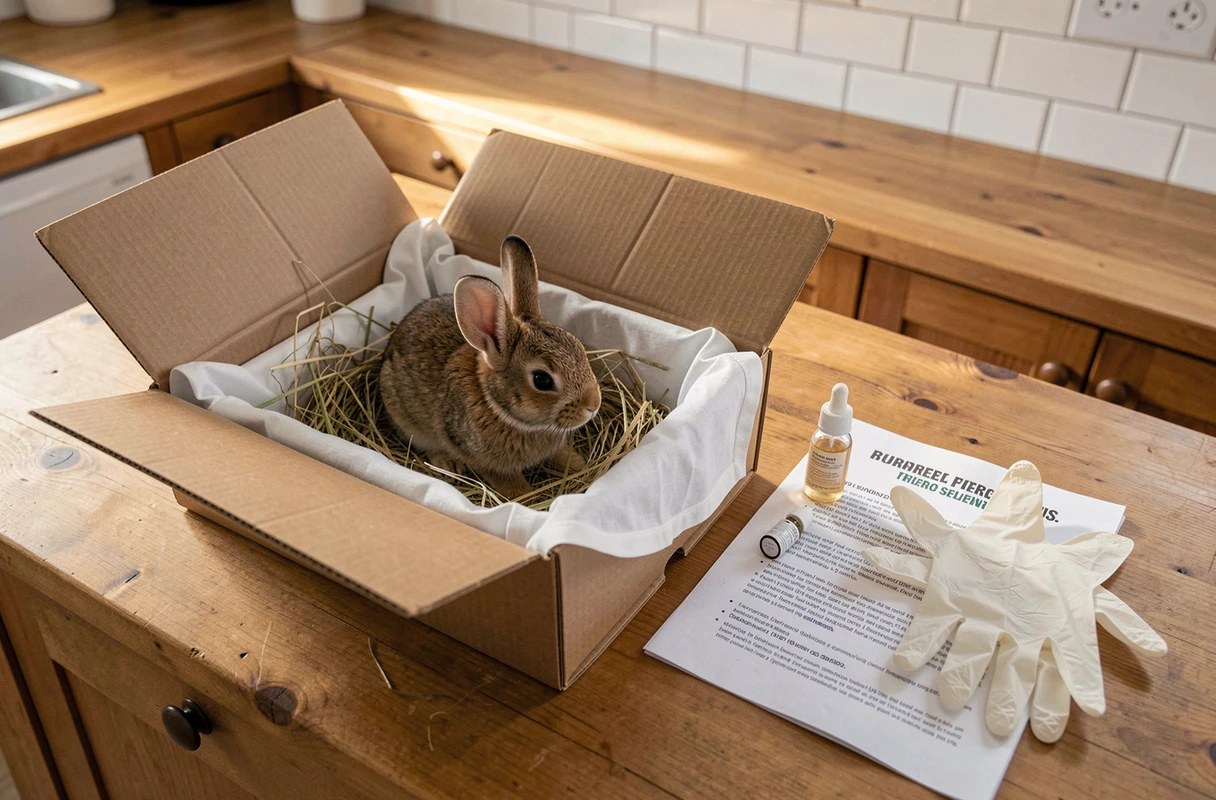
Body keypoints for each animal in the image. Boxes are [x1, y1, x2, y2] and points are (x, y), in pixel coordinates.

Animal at [379, 235, 602, 500]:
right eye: (542, 379)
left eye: (578, 347)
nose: (593, 405)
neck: (497, 407)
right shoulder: (483, 459)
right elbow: (507, 480)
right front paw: (527, 496)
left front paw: (578, 464)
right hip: (408, 420)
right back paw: (447, 463)